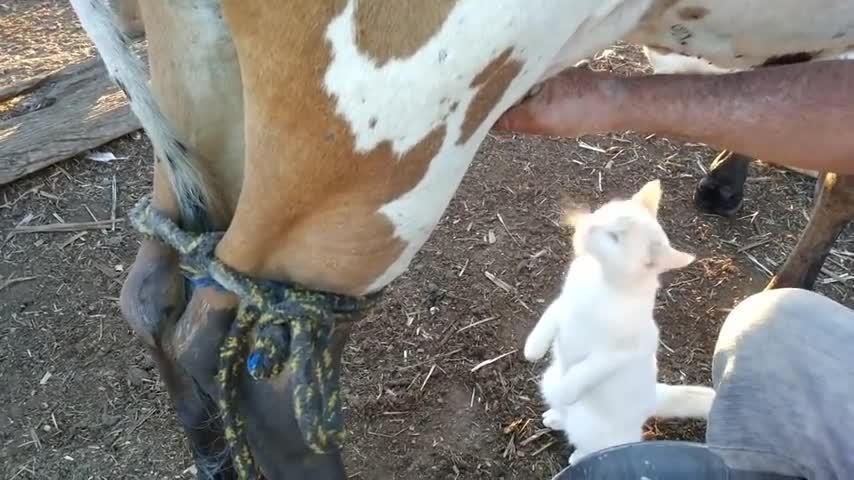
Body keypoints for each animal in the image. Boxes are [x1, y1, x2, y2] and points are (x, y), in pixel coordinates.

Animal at [524, 179, 720, 464]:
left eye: (614, 238)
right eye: (604, 213)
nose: (588, 223)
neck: (599, 278)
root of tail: (652, 396)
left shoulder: (622, 351)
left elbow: (586, 371)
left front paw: (569, 388)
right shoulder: (564, 302)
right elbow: (548, 319)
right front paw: (533, 348)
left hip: (597, 429)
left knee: (599, 445)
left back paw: (580, 455)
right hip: (548, 381)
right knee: (563, 410)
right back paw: (556, 417)